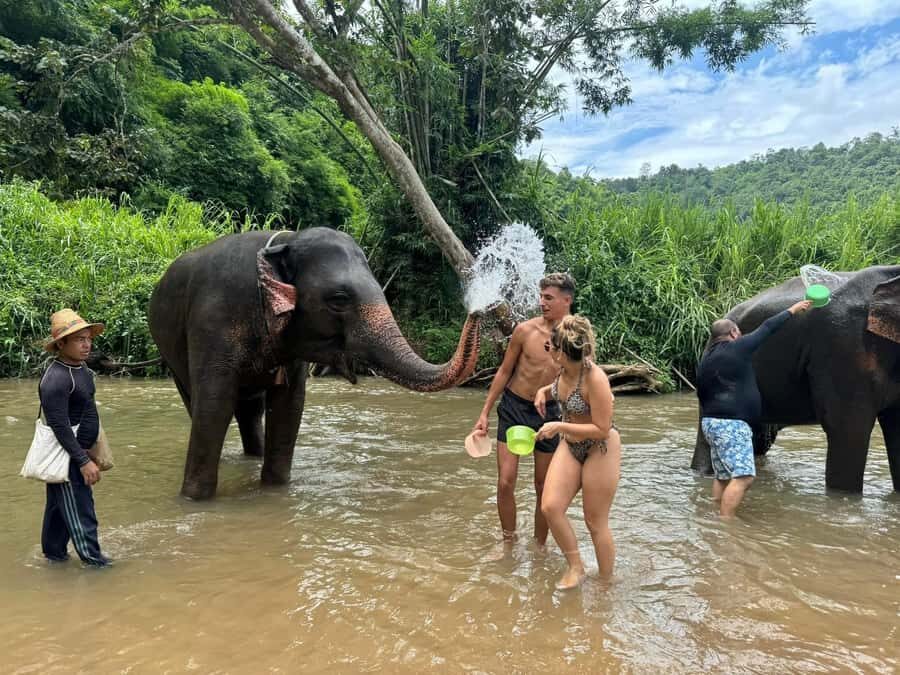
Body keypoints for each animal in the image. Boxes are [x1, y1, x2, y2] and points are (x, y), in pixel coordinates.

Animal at [149, 228, 482, 499]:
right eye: (339, 299)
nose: (478, 310)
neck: (284, 241)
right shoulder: (213, 323)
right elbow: (214, 404)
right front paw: (194, 500)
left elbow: (290, 405)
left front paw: (275, 490)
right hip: (170, 352)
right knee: (199, 403)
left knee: (251, 411)